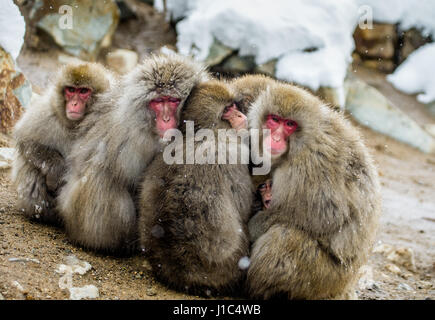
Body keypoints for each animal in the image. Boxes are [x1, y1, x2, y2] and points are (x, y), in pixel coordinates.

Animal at [12, 62, 116, 222]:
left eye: (84, 91)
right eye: (71, 90)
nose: (74, 104)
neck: (75, 125)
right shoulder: (47, 110)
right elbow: (26, 140)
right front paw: (57, 171)